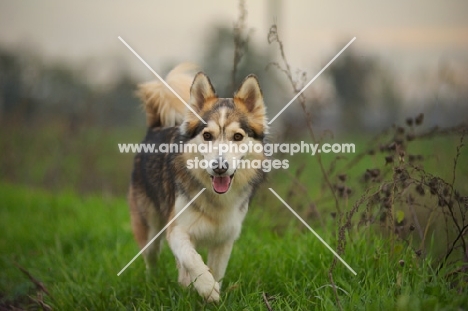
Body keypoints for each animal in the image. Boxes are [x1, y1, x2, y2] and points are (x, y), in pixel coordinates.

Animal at [127, 64, 266, 304]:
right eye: (207, 135)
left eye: (238, 137)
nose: (219, 167)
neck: (216, 197)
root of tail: (155, 129)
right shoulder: (176, 230)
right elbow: (191, 259)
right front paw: (207, 287)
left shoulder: (225, 238)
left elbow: (216, 270)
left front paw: (212, 293)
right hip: (150, 226)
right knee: (151, 258)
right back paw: (152, 282)